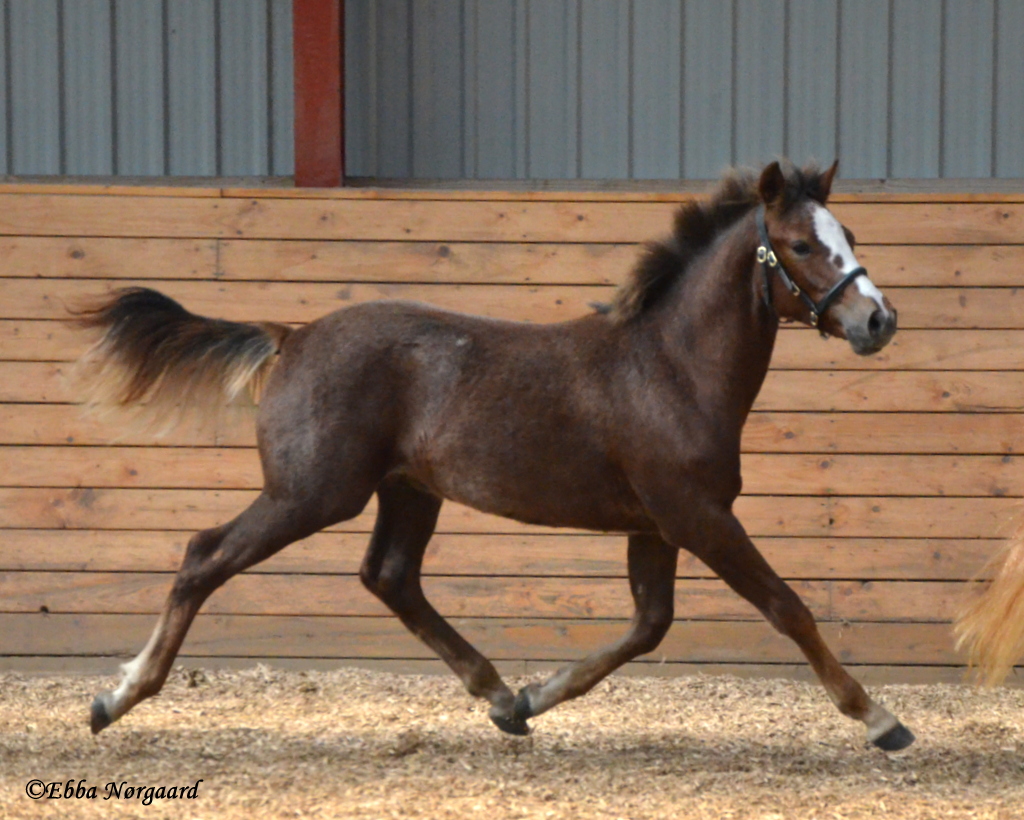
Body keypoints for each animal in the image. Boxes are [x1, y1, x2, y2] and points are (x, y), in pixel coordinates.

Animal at [74, 158, 913, 749]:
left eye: (853, 238)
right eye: (801, 244)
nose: (878, 321)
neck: (670, 366)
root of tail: (292, 336)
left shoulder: (656, 525)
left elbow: (649, 625)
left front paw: (534, 699)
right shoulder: (697, 516)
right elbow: (785, 605)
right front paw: (880, 720)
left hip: (407, 490)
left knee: (388, 576)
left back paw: (500, 695)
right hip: (310, 493)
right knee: (204, 556)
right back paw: (115, 697)